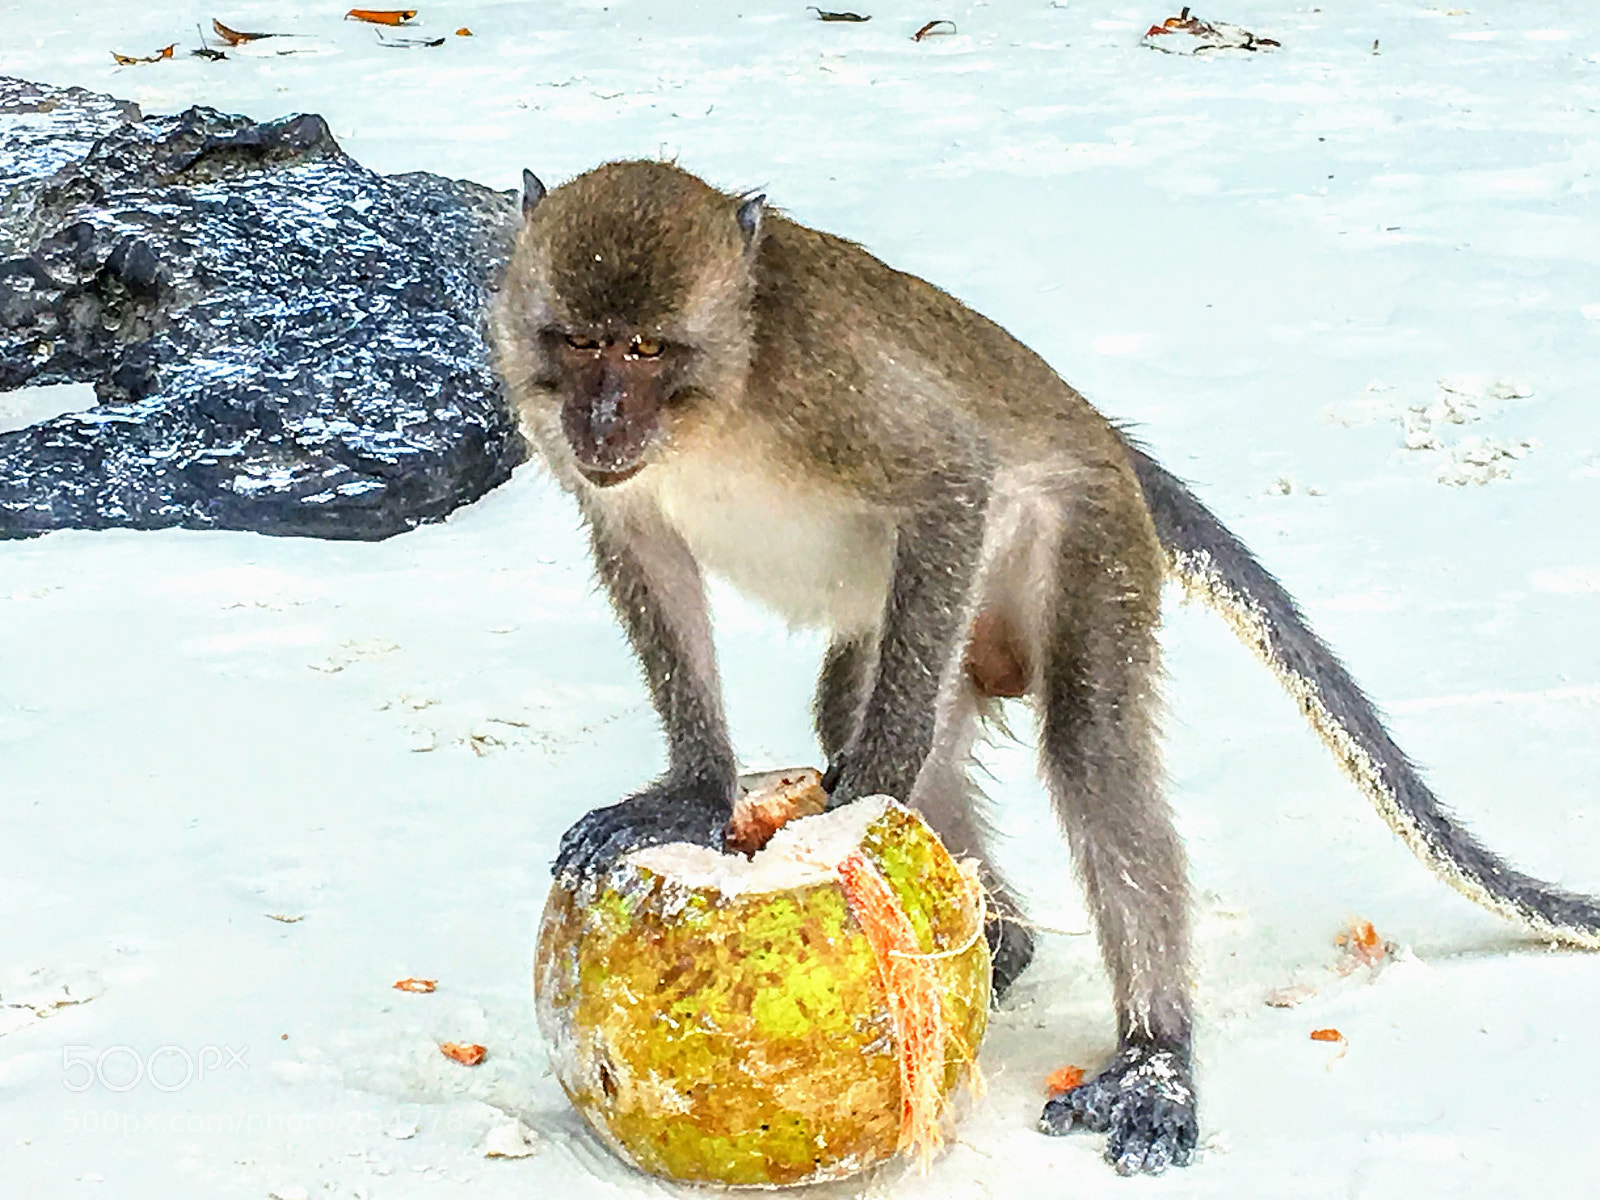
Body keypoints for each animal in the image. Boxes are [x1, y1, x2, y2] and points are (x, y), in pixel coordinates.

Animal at [489, 160, 1600, 1176]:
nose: (601, 420)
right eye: (579, 342)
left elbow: (948, 479)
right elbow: (647, 556)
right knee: (855, 694)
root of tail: (1107, 435)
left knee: (1090, 743)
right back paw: (1007, 945)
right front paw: (693, 791)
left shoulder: (831, 388)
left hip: (1084, 541)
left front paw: (871, 785)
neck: (715, 403)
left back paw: (1154, 1055)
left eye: (645, 348)